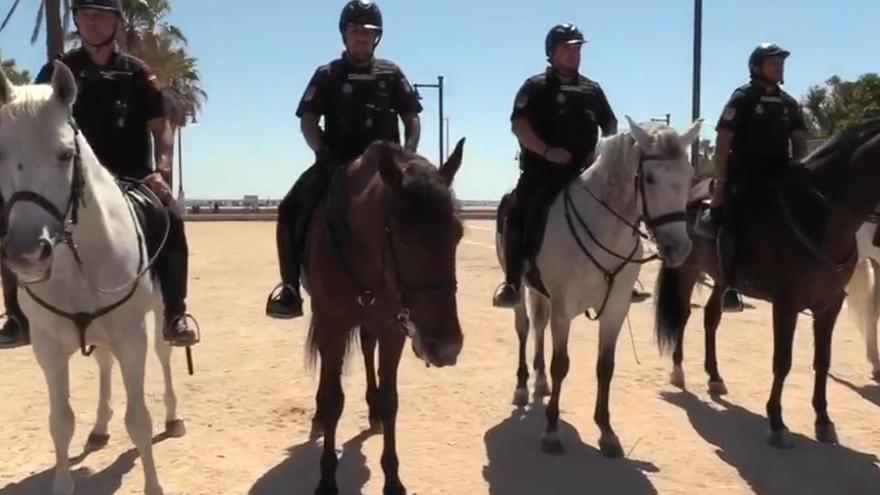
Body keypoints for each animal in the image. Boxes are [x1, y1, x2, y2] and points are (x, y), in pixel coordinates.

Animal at [0, 62, 184, 495]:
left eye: (66, 154)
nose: (27, 254)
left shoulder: (132, 340)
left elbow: (139, 421)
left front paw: (154, 485)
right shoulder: (48, 349)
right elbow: (60, 424)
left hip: (158, 318)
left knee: (164, 355)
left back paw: (173, 417)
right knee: (102, 363)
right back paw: (100, 427)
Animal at [304, 139, 468, 495]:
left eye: (458, 233)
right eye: (404, 234)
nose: (446, 348)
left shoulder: (392, 329)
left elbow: (391, 399)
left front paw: (392, 479)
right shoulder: (332, 326)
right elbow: (334, 398)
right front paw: (327, 479)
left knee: (367, 347)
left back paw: (373, 408)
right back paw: (322, 414)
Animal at [496, 118, 700, 460]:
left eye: (689, 177)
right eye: (650, 178)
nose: (679, 248)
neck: (605, 231)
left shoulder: (615, 310)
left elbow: (605, 367)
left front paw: (607, 432)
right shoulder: (564, 310)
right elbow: (561, 365)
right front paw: (551, 431)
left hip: (541, 292)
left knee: (538, 327)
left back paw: (539, 383)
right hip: (522, 289)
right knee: (524, 328)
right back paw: (523, 387)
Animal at [652, 117, 880, 450]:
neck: (819, 216)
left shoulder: (830, 304)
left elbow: (822, 361)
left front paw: (823, 422)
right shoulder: (786, 304)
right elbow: (782, 361)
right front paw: (776, 422)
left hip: (720, 278)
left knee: (711, 317)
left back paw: (714, 377)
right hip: (687, 271)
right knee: (682, 315)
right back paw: (678, 371)